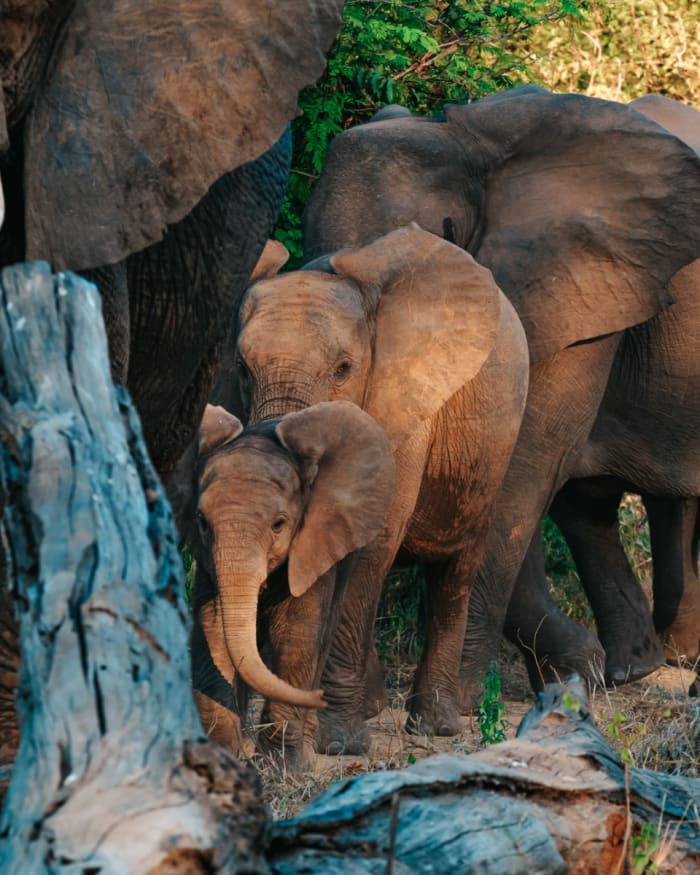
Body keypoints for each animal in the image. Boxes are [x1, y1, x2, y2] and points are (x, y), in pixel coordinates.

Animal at [189, 226, 528, 768]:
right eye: (241, 368)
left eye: (344, 369)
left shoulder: (399, 408)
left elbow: (372, 545)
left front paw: (339, 743)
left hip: (496, 450)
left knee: (457, 566)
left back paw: (434, 725)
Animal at [302, 84, 700, 712]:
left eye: (433, 240)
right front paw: (571, 672)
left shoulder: (583, 288)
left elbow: (524, 464)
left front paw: (464, 698)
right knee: (594, 504)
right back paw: (636, 667)